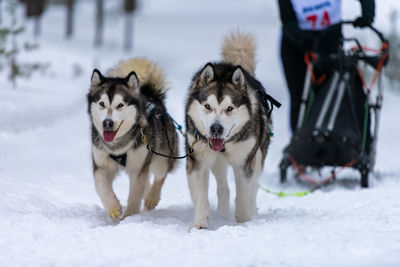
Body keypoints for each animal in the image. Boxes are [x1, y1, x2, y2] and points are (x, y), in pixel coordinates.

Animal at [88, 58, 177, 220]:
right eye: (102, 103)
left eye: (120, 105)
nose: (107, 123)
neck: (118, 146)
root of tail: (153, 98)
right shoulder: (101, 164)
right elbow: (101, 185)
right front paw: (113, 207)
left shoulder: (138, 168)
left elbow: (135, 195)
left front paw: (129, 217)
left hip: (161, 157)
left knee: (160, 176)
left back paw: (152, 198)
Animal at [186, 31, 276, 230]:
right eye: (208, 106)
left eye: (230, 108)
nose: (216, 128)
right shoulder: (198, 159)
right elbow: (201, 195)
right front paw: (200, 223)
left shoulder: (244, 161)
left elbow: (243, 193)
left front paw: (244, 221)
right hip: (216, 162)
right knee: (223, 187)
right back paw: (222, 214)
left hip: (259, 157)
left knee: (253, 188)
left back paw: (251, 211)